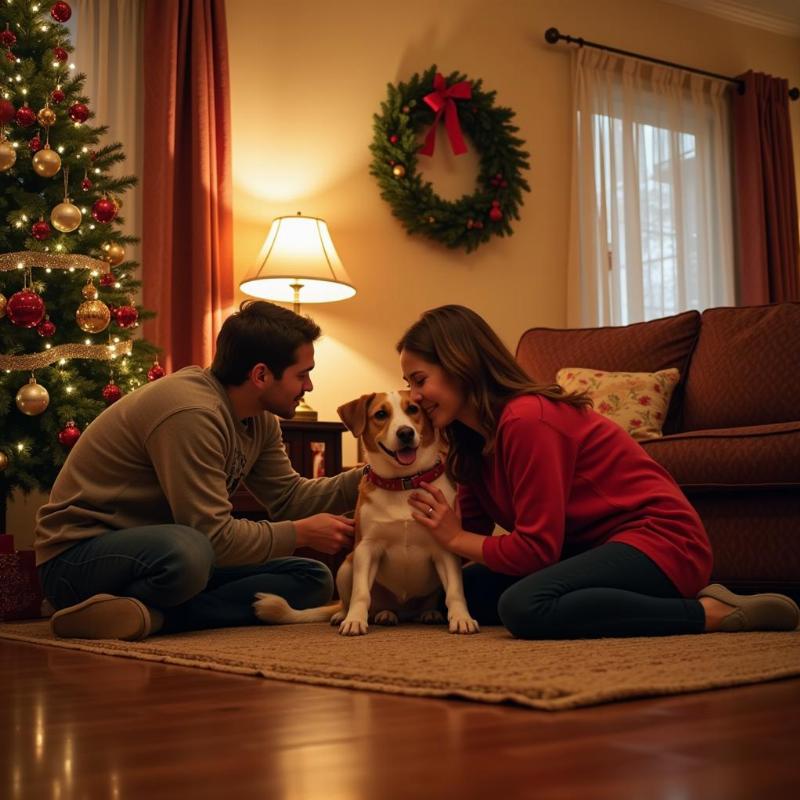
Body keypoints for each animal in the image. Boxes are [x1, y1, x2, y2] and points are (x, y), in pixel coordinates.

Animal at [256, 390, 478, 636]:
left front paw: (461, 618)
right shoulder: (367, 549)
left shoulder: (444, 548)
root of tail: (404, 612)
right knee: (352, 601)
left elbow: (455, 592)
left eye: (413, 409)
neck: (403, 483)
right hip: (346, 567)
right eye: (380, 414)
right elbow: (361, 593)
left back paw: (428, 613)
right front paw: (354, 620)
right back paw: (362, 615)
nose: (405, 433)